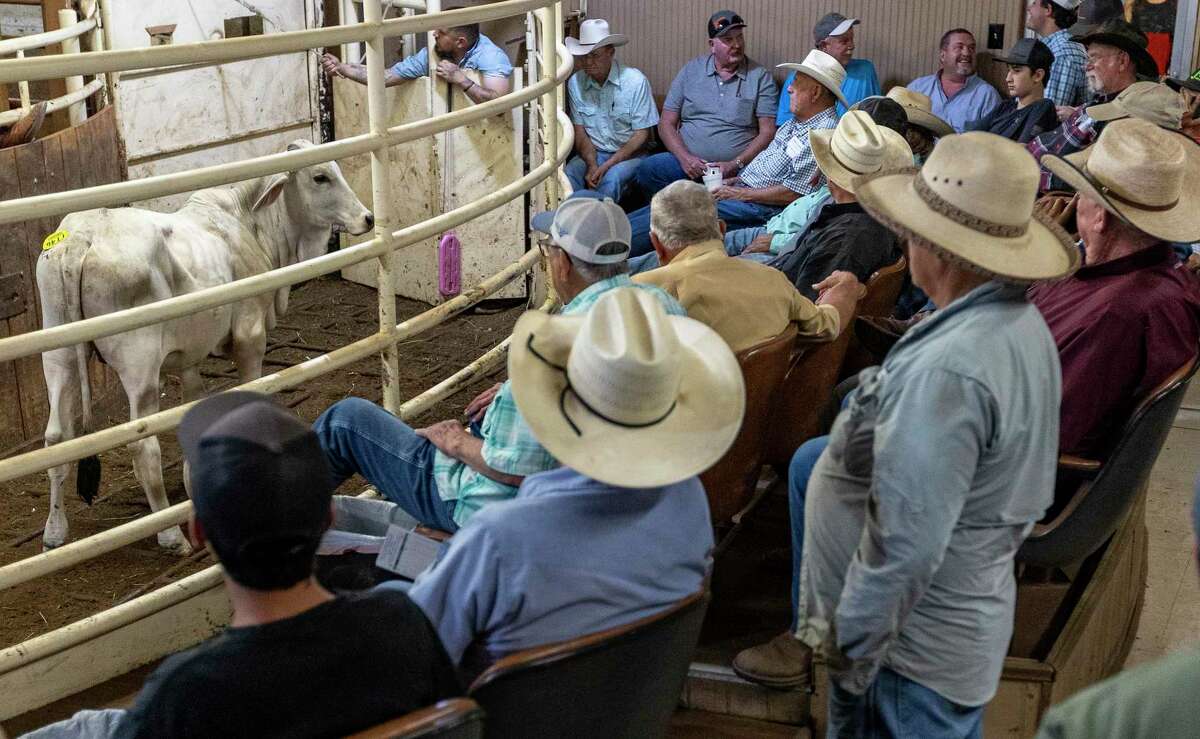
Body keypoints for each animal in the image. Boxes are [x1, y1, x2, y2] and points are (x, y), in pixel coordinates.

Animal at [37, 138, 369, 554]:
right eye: (320, 176)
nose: (368, 218)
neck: (250, 222)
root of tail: (84, 235)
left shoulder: (187, 360)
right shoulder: (250, 335)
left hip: (58, 356)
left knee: (56, 439)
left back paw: (54, 532)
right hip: (139, 366)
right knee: (143, 449)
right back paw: (169, 535)